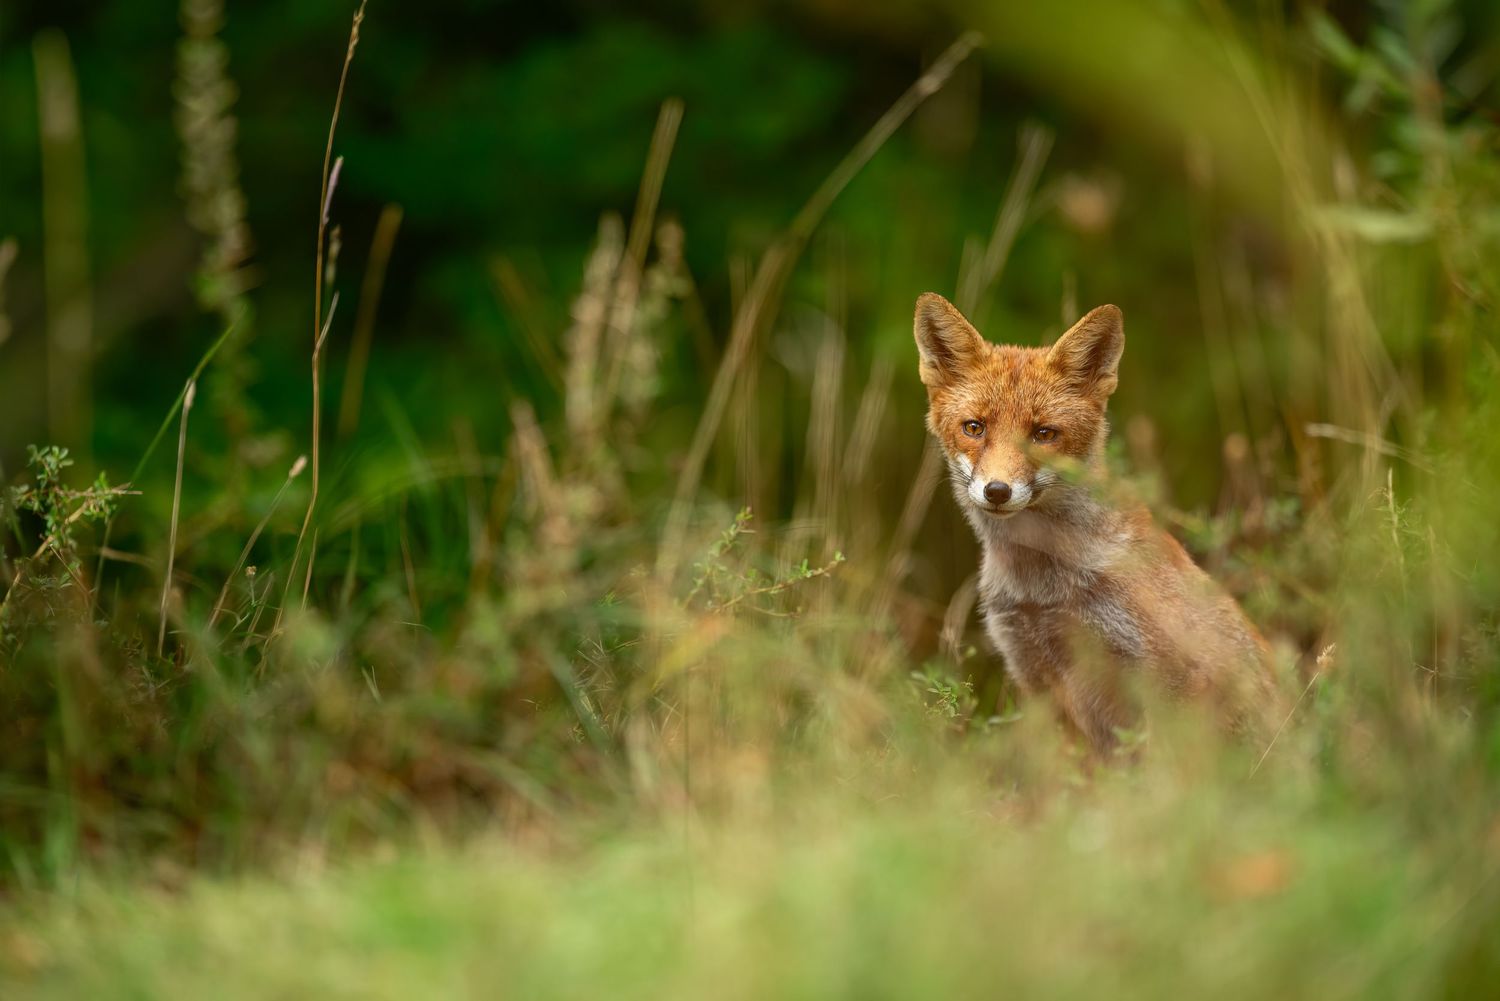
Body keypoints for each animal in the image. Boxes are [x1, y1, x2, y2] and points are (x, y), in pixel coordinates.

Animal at [913, 292, 1279, 752]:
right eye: (974, 428)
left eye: (1044, 434)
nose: (997, 490)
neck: (1045, 590)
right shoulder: (1035, 675)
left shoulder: (1160, 677)